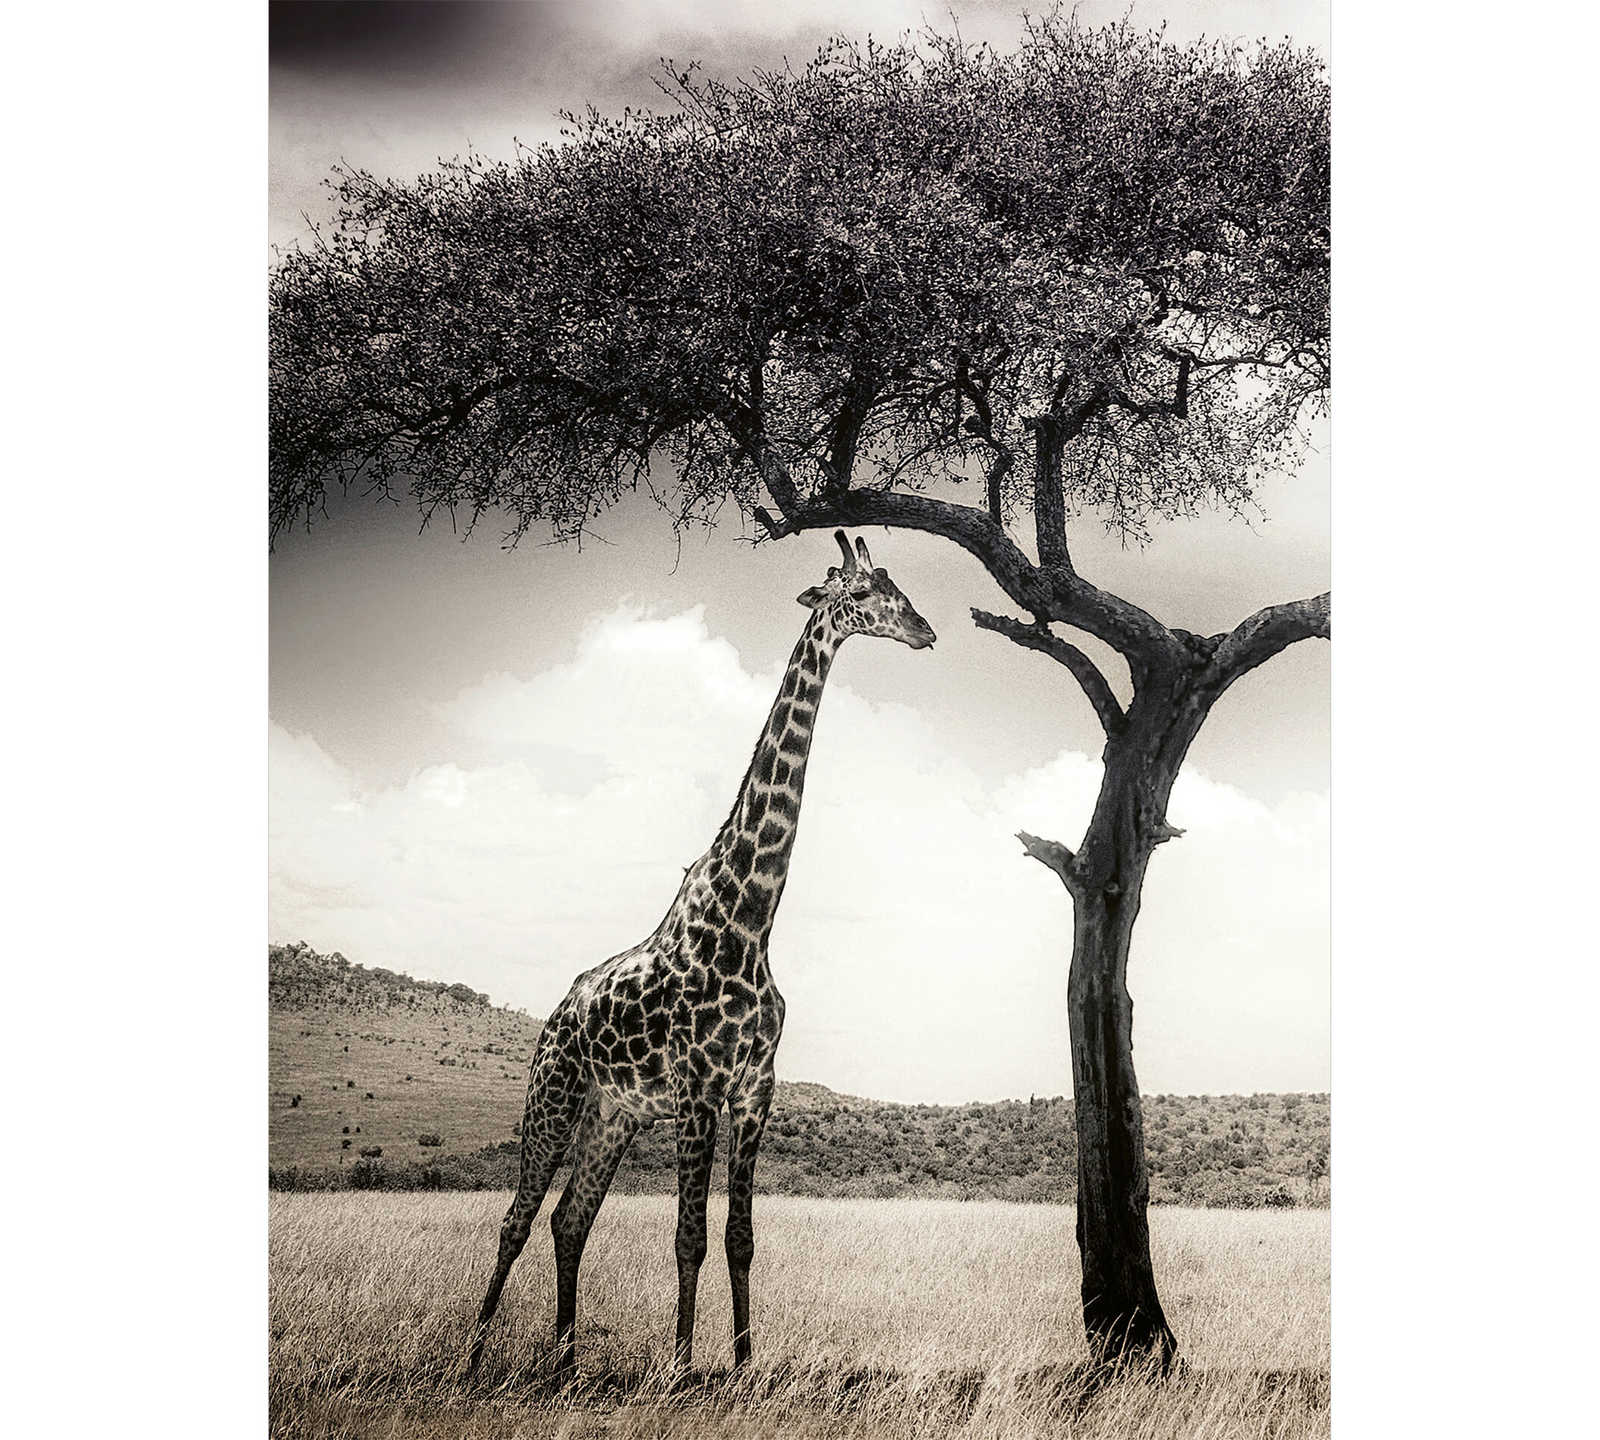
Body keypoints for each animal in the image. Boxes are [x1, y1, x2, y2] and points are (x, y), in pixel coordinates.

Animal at [465, 530, 936, 1381]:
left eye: (900, 587)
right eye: (861, 594)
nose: (924, 631)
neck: (750, 922)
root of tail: (554, 1014)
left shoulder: (753, 1092)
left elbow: (739, 1239)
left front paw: (745, 1365)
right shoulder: (697, 1092)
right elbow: (687, 1237)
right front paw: (683, 1367)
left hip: (613, 1114)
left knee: (568, 1221)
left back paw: (567, 1360)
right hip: (553, 1096)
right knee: (517, 1220)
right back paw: (475, 1351)